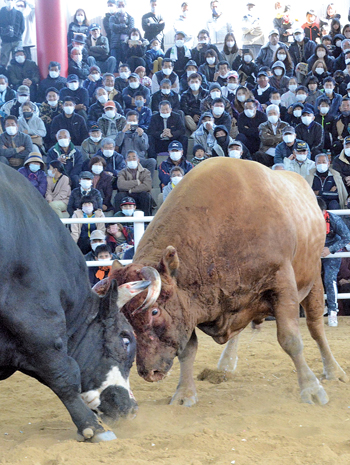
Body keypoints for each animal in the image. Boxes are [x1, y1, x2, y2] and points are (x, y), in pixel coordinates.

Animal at [94, 158, 346, 404]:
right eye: (123, 317)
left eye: (154, 311)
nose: (149, 372)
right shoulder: (190, 307)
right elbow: (188, 350)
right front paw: (184, 393)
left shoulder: (282, 285)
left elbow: (291, 339)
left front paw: (312, 388)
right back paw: (226, 364)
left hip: (313, 280)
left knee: (315, 326)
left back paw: (333, 370)